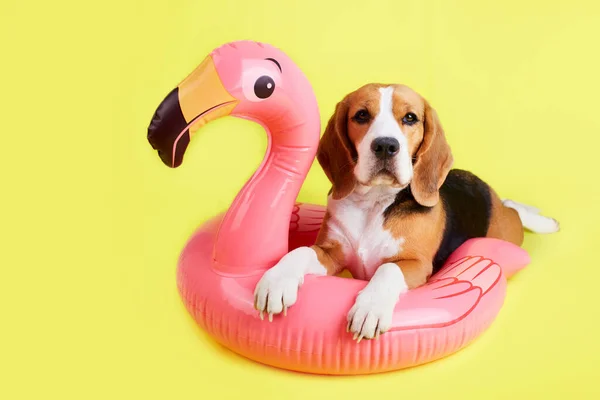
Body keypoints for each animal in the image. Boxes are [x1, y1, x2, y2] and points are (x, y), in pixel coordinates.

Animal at [252, 83, 556, 340]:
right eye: (361, 115)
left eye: (410, 118)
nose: (386, 145)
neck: (375, 203)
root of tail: (480, 184)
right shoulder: (331, 253)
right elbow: (300, 252)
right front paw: (276, 281)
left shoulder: (416, 264)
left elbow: (387, 269)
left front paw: (370, 308)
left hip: (504, 230)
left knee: (514, 210)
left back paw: (541, 219)